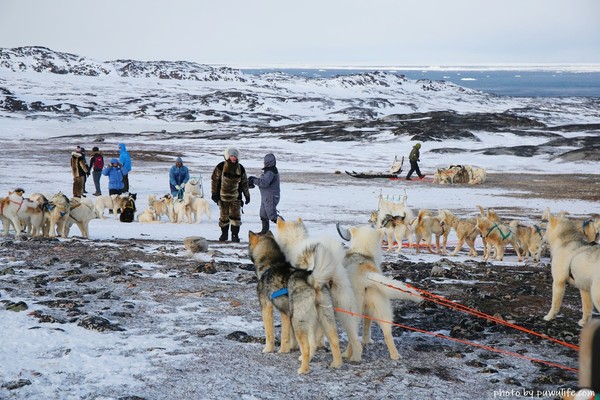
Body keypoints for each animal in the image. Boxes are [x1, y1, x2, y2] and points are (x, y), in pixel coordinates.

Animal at [248, 230, 342, 374]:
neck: (270, 263)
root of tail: (311, 280)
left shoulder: (266, 308)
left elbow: (270, 333)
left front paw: (268, 349)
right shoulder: (285, 314)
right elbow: (286, 336)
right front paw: (284, 350)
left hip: (298, 320)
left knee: (307, 347)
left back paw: (303, 369)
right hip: (324, 318)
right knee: (332, 341)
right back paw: (336, 364)